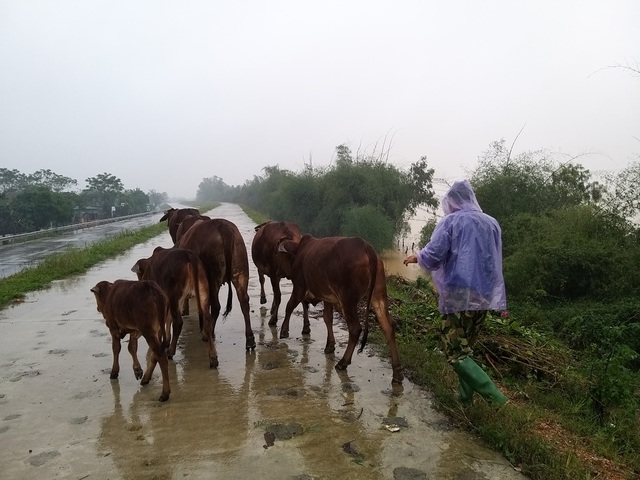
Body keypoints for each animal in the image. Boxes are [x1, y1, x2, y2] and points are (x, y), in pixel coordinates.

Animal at [278, 234, 402, 384]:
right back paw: (397, 372)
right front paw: (330, 346)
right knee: (388, 326)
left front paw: (284, 331)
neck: (299, 251)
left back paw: (343, 362)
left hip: (348, 299)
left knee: (355, 329)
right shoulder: (328, 298)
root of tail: (366, 247)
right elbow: (327, 318)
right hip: (378, 295)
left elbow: (289, 306)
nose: (279, 272)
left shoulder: (299, 287)